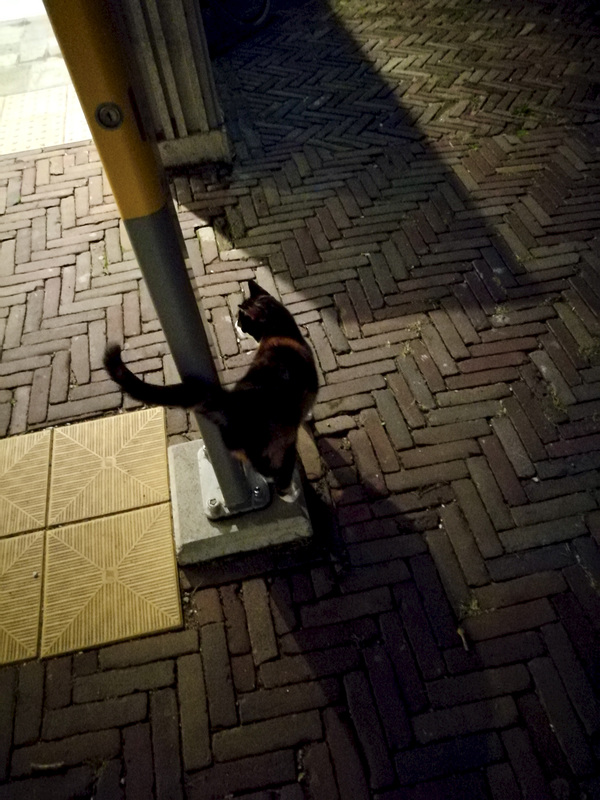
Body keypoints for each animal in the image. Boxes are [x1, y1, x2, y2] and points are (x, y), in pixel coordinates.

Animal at [103, 278, 318, 496]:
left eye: (242, 320)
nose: (236, 324)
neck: (282, 333)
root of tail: (232, 402)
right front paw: (308, 416)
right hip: (282, 446)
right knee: (279, 477)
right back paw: (292, 492)